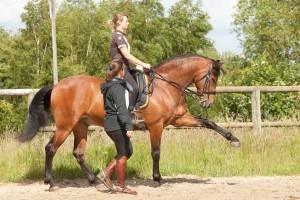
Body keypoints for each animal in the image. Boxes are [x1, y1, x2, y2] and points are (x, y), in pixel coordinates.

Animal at [17, 54, 240, 188]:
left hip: (81, 125)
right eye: (213, 77)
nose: (208, 103)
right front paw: (157, 179)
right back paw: (50, 181)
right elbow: (156, 152)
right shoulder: (156, 126)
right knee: (50, 148)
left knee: (78, 153)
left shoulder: (178, 119)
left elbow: (209, 123)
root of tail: (56, 86)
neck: (166, 85)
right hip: (66, 125)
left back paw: (93, 179)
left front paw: (234, 140)